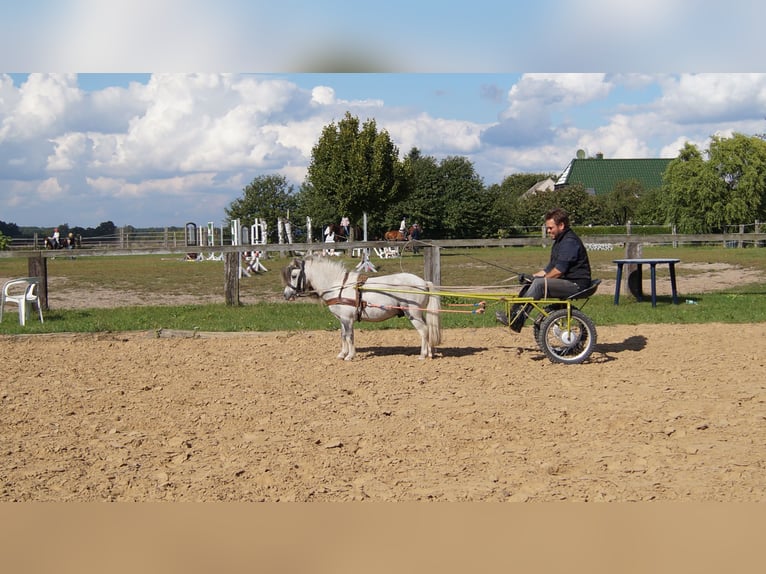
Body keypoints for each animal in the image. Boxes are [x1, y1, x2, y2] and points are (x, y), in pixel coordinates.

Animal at [284, 255, 444, 360]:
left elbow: (349, 336)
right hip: (419, 314)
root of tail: (424, 283)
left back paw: (422, 355)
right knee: (428, 330)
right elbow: (343, 335)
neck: (339, 286)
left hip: (413, 314)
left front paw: (350, 356)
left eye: (294, 275)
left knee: (423, 331)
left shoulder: (347, 319)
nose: (286, 294)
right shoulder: (342, 319)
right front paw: (342, 354)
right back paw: (430, 353)